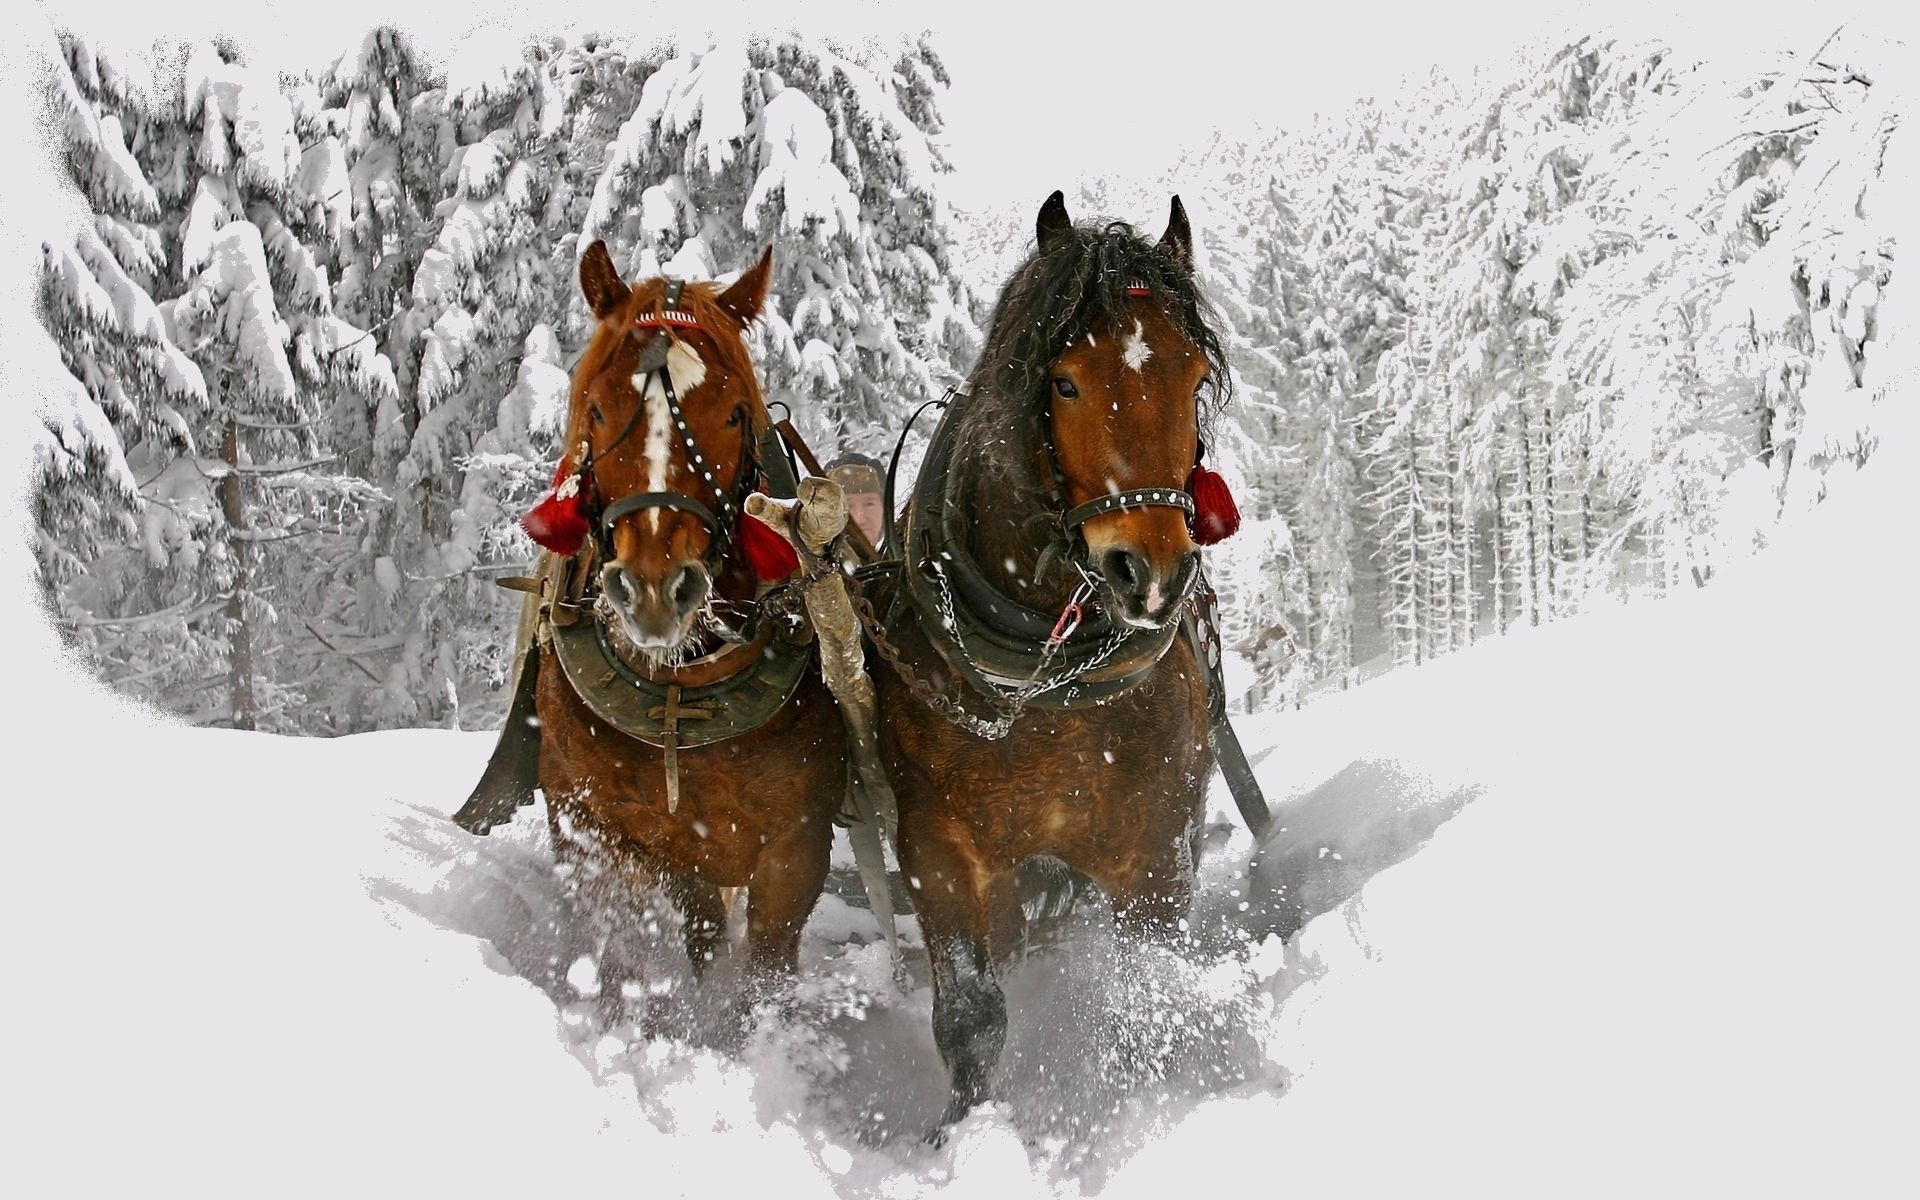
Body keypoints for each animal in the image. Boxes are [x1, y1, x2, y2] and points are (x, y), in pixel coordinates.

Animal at [459, 241, 848, 1035]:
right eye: (599, 407)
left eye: (734, 414)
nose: (654, 590)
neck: (680, 690)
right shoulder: (602, 829)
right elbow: (640, 945)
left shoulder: (797, 846)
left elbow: (766, 968)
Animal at [868, 193, 1236, 1132]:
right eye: (1064, 381)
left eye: (1192, 379)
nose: (1152, 572)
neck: (1046, 683)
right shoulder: (936, 849)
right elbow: (970, 1014)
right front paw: (962, 1133)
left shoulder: (1157, 847)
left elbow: (1148, 992)